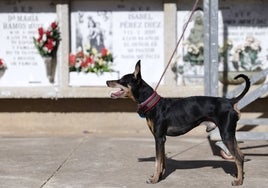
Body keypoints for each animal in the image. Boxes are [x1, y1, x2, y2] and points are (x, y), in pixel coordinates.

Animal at [105, 61, 250, 186]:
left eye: (121, 81)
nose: (107, 81)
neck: (153, 105)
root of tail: (230, 101)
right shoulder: (162, 139)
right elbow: (162, 161)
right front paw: (159, 176)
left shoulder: (158, 138)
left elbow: (157, 161)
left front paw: (154, 179)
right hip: (230, 134)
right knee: (241, 155)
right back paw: (238, 176)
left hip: (226, 134)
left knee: (238, 157)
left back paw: (239, 181)